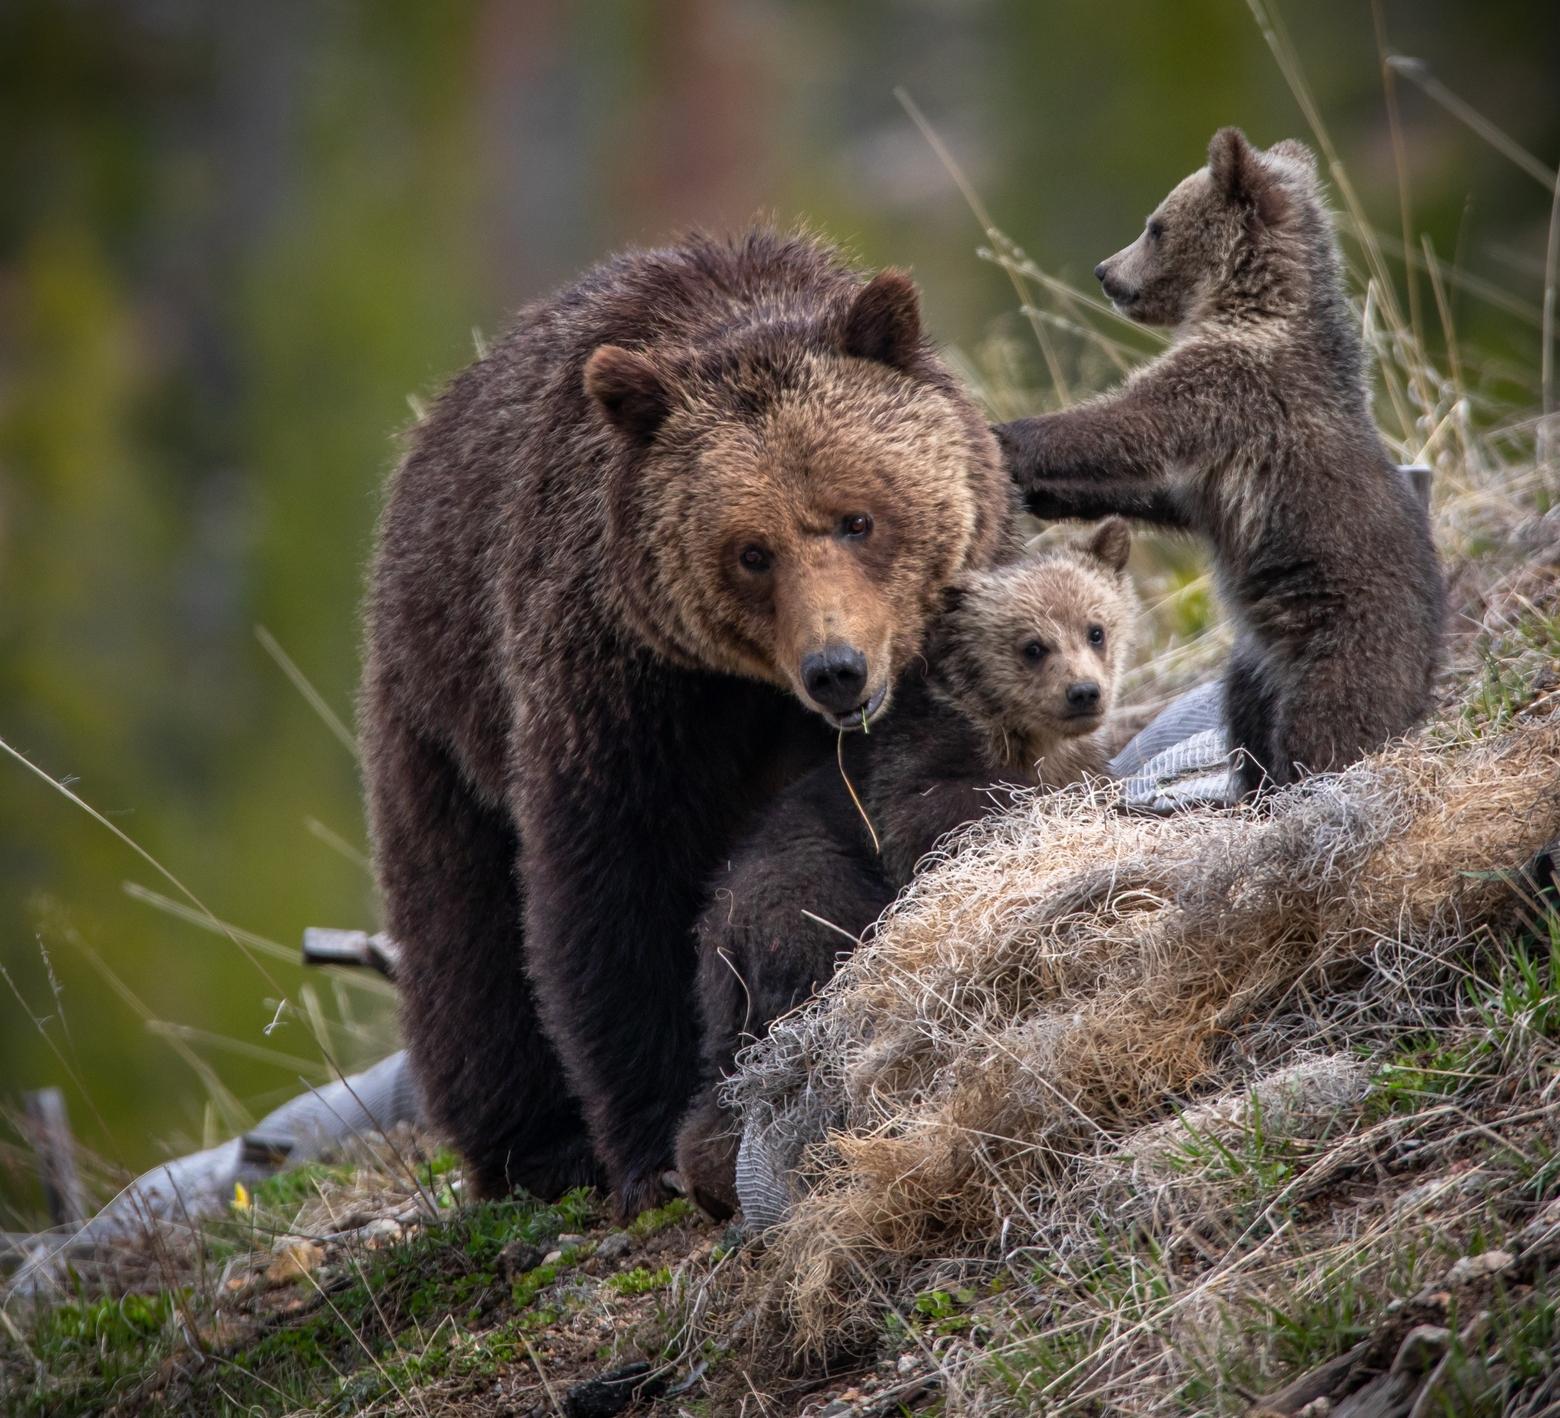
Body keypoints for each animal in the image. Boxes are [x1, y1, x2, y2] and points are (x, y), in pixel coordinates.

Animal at [366, 226, 1023, 1210]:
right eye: (751, 551)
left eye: (857, 518)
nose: (837, 669)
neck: (754, 691)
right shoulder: (624, 684)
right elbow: (612, 887)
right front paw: (652, 1141)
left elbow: (933, 787)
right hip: (438, 713)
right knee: (464, 937)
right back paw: (536, 1147)